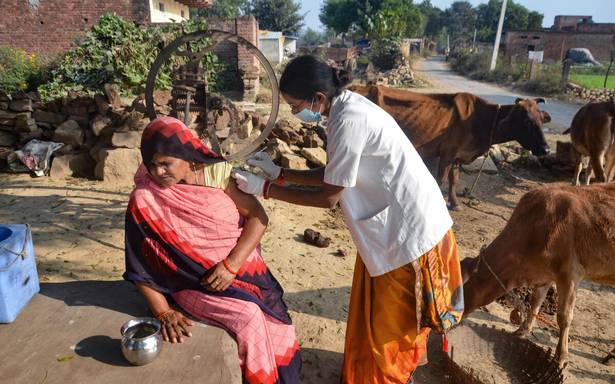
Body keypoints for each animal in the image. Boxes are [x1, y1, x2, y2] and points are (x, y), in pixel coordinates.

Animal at [352, 85, 552, 210]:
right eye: (526, 120)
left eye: (541, 120)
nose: (546, 150)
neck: (481, 120)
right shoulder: (447, 153)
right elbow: (440, 179)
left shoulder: (458, 157)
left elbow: (454, 180)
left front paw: (455, 204)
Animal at [462, 183, 615, 366]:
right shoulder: (545, 275)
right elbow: (536, 302)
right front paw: (522, 330)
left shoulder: (570, 273)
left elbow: (564, 317)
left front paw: (561, 356)